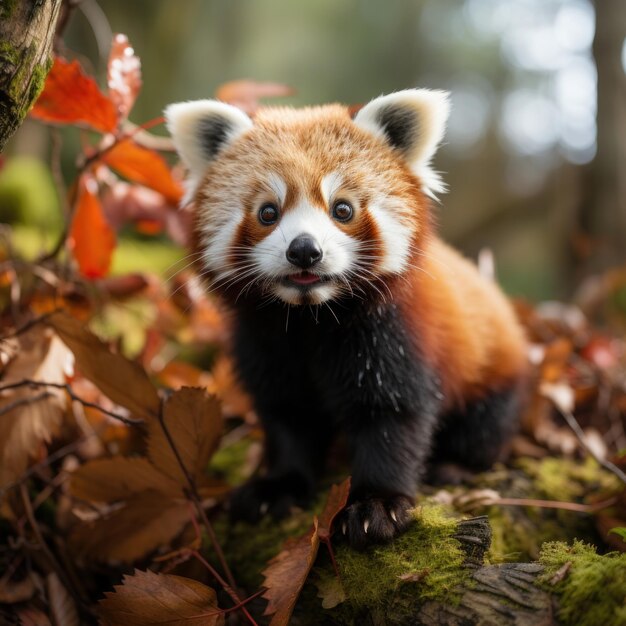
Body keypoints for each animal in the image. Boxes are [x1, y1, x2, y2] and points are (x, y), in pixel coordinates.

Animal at [163, 89, 524, 544]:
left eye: (343, 209)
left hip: (492, 373)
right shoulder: (265, 343)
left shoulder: (391, 336)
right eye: (268, 212)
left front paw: (377, 504)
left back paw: (454, 465)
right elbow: (289, 415)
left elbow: (391, 418)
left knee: (484, 430)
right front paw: (278, 486)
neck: (310, 319)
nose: (304, 250)